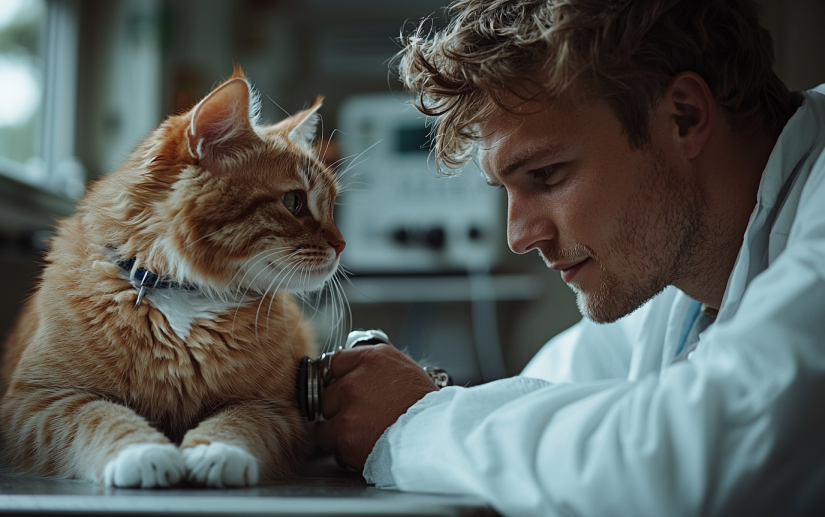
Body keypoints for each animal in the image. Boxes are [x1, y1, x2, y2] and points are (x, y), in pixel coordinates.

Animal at [0, 68, 344, 488]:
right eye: (294, 202)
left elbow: (238, 422)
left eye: (331, 205)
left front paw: (216, 452)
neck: (182, 293)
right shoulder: (37, 400)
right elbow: (98, 416)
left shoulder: (276, 409)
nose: (341, 244)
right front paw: (142, 451)